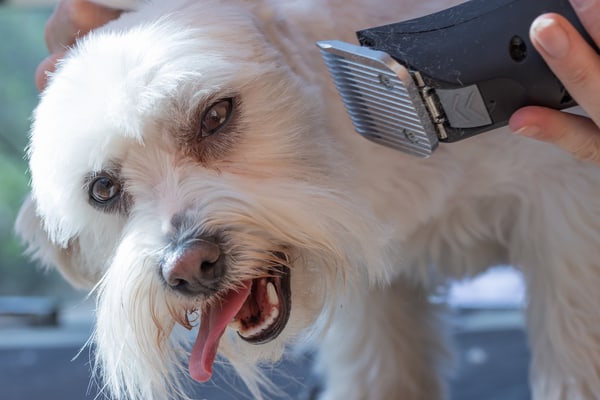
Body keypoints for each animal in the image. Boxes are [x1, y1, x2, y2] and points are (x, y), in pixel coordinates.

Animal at [15, 0, 600, 398]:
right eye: (103, 189)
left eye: (215, 115)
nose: (189, 266)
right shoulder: (375, 303)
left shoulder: (568, 224)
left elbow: (573, 362)